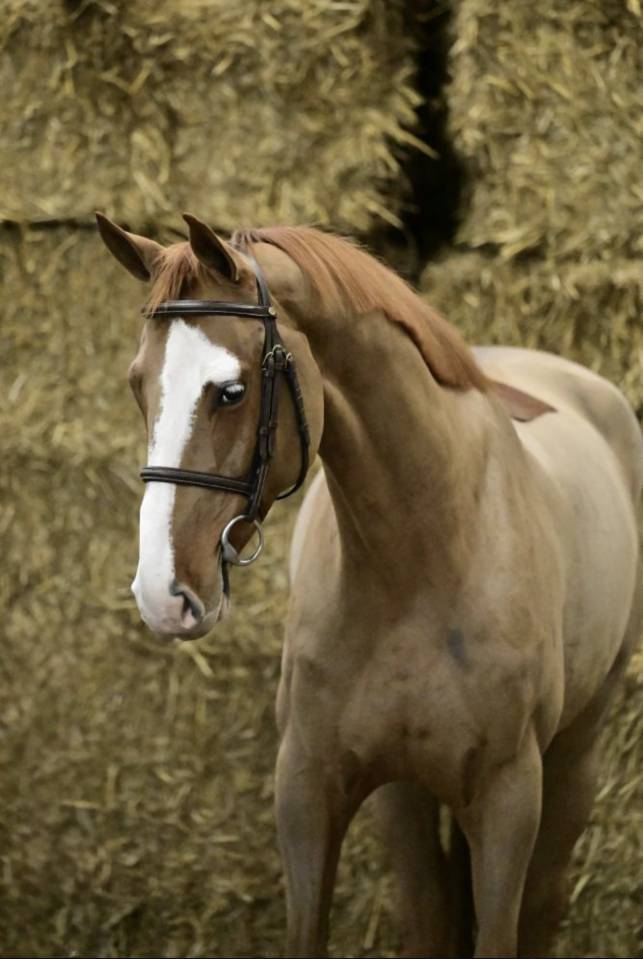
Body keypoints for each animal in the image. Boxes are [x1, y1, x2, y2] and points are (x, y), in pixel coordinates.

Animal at [96, 211, 642, 959]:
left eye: (231, 391)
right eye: (137, 383)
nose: (162, 592)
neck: (421, 562)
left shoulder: (507, 798)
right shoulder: (307, 785)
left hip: (573, 757)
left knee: (543, 903)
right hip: (406, 793)